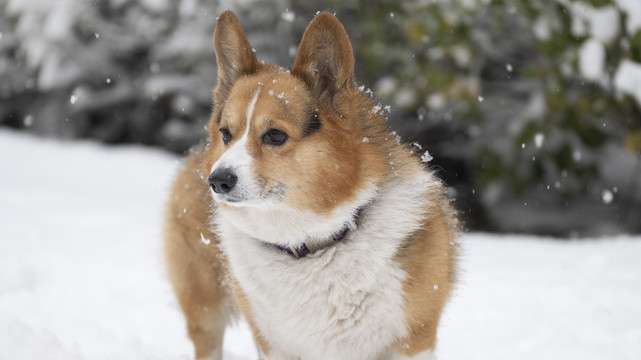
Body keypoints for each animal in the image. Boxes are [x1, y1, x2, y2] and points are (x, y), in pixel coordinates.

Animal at [162, 10, 458, 360]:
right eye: (226, 134)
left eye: (275, 135)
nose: (217, 180)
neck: (312, 244)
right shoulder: (273, 346)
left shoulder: (415, 341)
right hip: (205, 312)